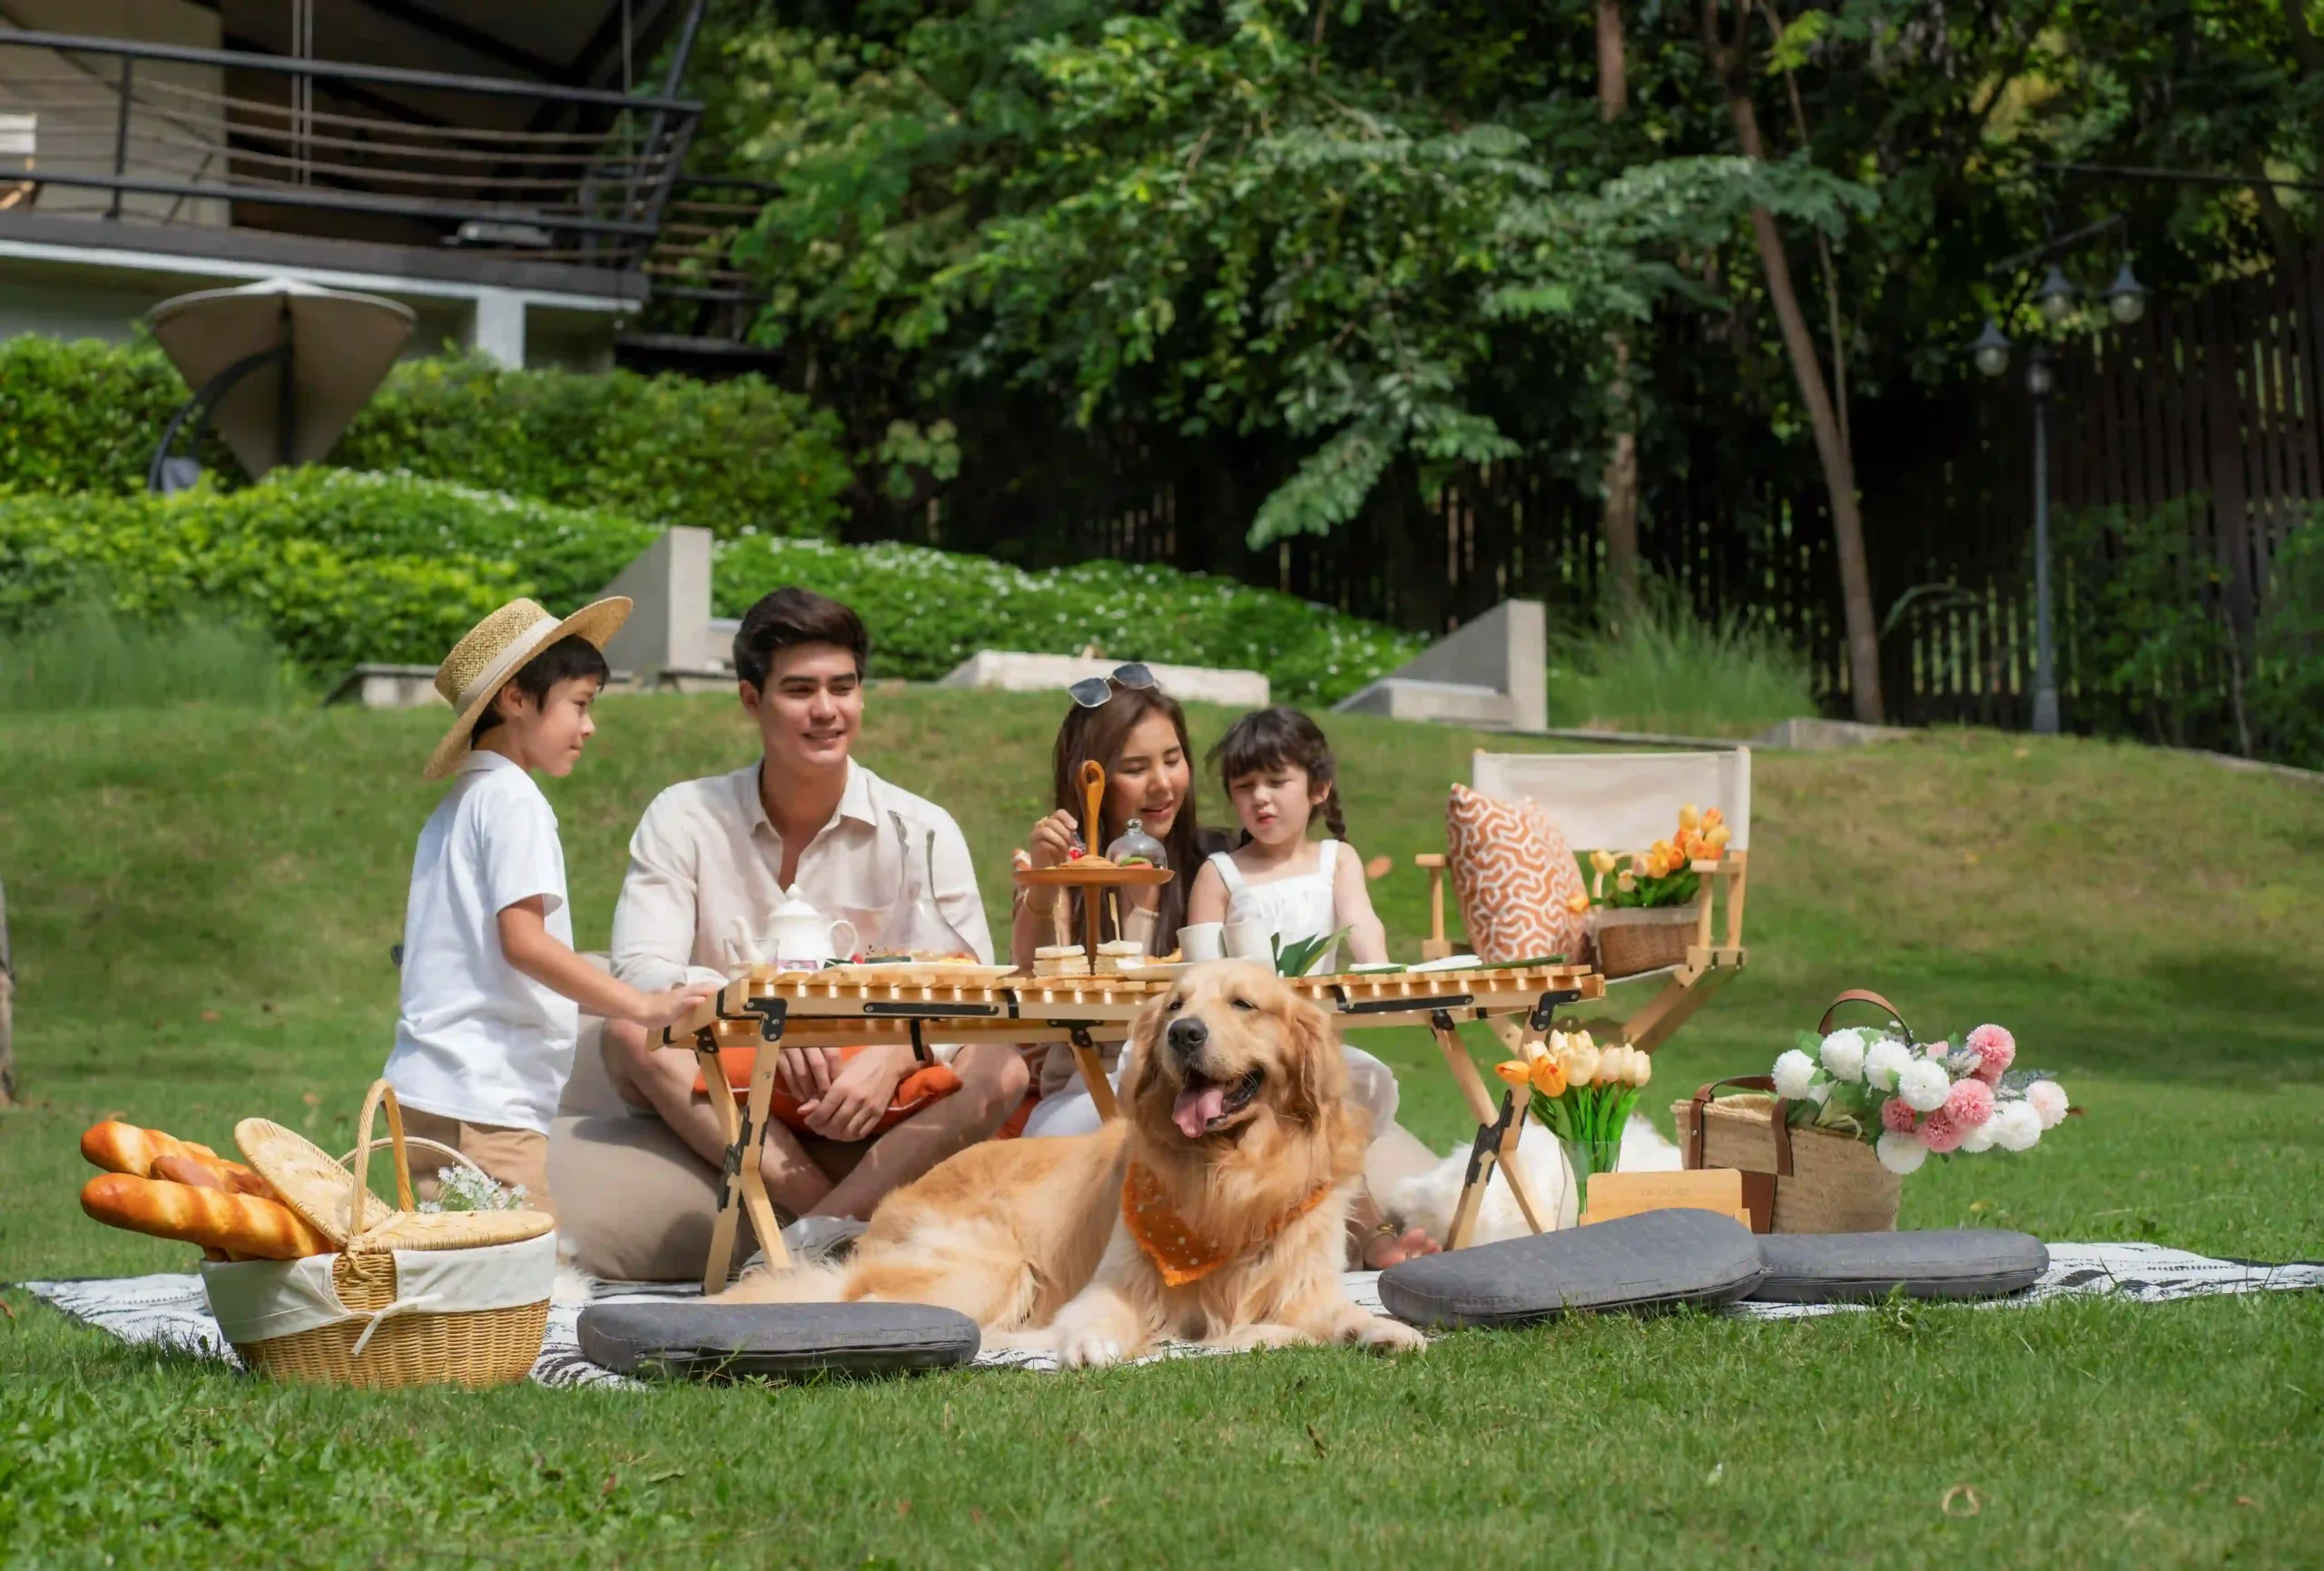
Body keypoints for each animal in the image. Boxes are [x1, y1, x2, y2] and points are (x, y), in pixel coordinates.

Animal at [715, 957, 1422, 1366]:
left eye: (1243, 1004)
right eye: (1175, 1005)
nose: (1183, 1033)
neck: (1228, 1178)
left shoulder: (1304, 1283)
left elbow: (1336, 1314)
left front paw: (1383, 1331)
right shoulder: (1117, 1279)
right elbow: (1097, 1317)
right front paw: (1092, 1343)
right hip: (993, 1267)